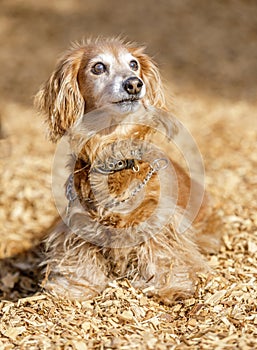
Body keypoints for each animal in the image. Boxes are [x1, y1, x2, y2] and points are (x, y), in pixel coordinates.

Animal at [35, 37, 217, 304]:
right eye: (98, 67)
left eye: (133, 64)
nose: (134, 84)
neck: (115, 158)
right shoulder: (78, 222)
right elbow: (80, 256)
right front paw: (74, 288)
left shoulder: (159, 220)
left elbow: (164, 254)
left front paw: (171, 287)